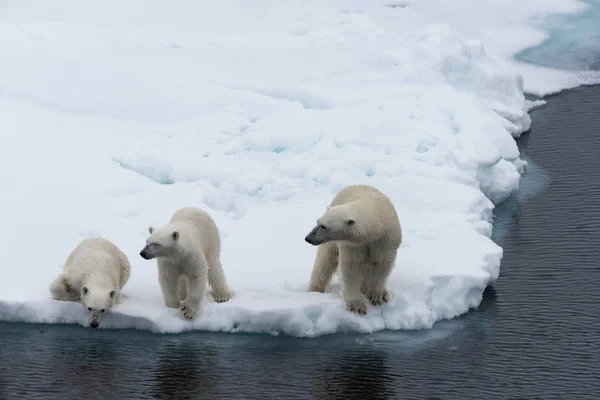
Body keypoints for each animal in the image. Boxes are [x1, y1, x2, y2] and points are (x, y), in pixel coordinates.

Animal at [308, 185, 400, 316]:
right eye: (318, 222)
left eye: (324, 226)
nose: (308, 238)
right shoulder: (352, 245)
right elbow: (350, 268)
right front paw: (356, 306)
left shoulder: (385, 240)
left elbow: (383, 264)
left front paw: (377, 296)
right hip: (331, 245)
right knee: (324, 263)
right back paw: (314, 291)